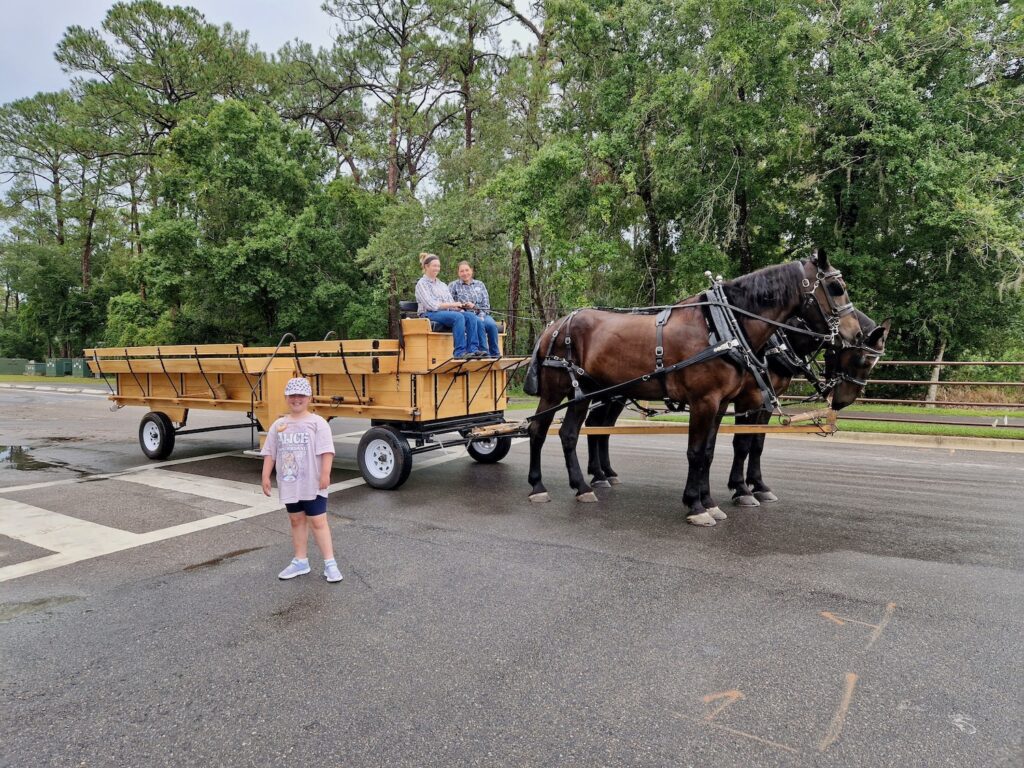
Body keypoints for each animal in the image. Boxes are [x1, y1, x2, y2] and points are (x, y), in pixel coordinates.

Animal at [524, 252, 860, 528]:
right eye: (836, 287)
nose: (854, 333)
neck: (722, 328)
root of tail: (554, 326)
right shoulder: (705, 401)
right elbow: (697, 451)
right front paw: (696, 505)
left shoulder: (722, 403)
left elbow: (710, 452)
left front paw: (710, 502)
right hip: (556, 390)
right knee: (539, 429)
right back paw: (538, 486)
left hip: (585, 393)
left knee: (569, 433)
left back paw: (582, 487)